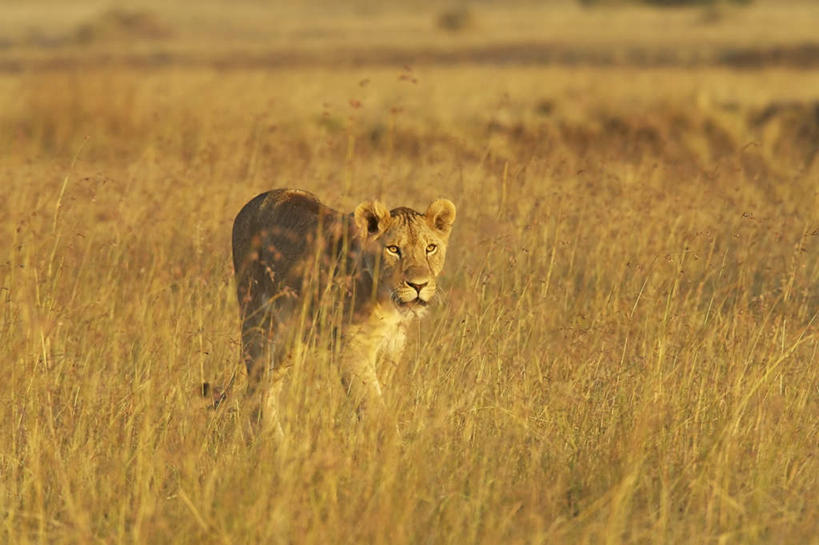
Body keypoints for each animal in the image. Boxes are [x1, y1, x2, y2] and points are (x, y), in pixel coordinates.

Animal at [226, 189, 454, 432]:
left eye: (430, 248)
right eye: (393, 249)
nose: (419, 285)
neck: (388, 303)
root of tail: (255, 200)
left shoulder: (394, 344)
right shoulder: (351, 347)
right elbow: (371, 402)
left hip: (290, 340)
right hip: (257, 319)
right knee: (259, 385)